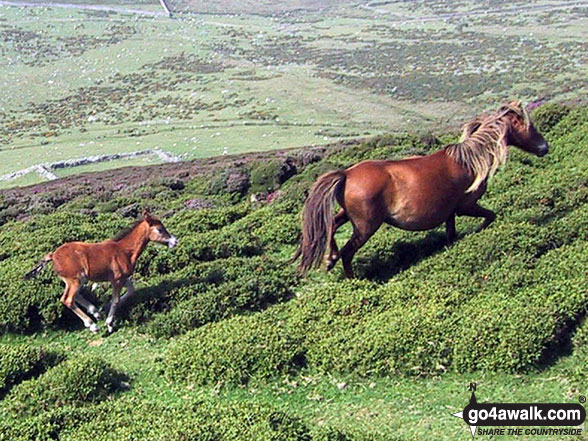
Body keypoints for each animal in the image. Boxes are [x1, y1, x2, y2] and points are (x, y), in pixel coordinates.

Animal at [25, 211, 177, 332]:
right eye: (160, 229)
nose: (175, 242)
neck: (124, 251)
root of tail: (53, 255)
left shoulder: (123, 277)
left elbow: (130, 291)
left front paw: (105, 307)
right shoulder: (116, 279)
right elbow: (116, 300)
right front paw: (109, 323)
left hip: (77, 280)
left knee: (76, 295)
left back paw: (96, 312)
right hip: (75, 279)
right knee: (67, 299)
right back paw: (92, 325)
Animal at [296, 101, 548, 276]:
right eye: (529, 126)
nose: (544, 148)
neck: (470, 161)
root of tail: (346, 174)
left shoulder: (450, 213)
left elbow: (452, 235)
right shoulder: (466, 205)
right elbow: (490, 216)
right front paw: (477, 232)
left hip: (350, 215)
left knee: (332, 224)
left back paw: (330, 259)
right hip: (366, 226)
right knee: (348, 253)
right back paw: (355, 281)